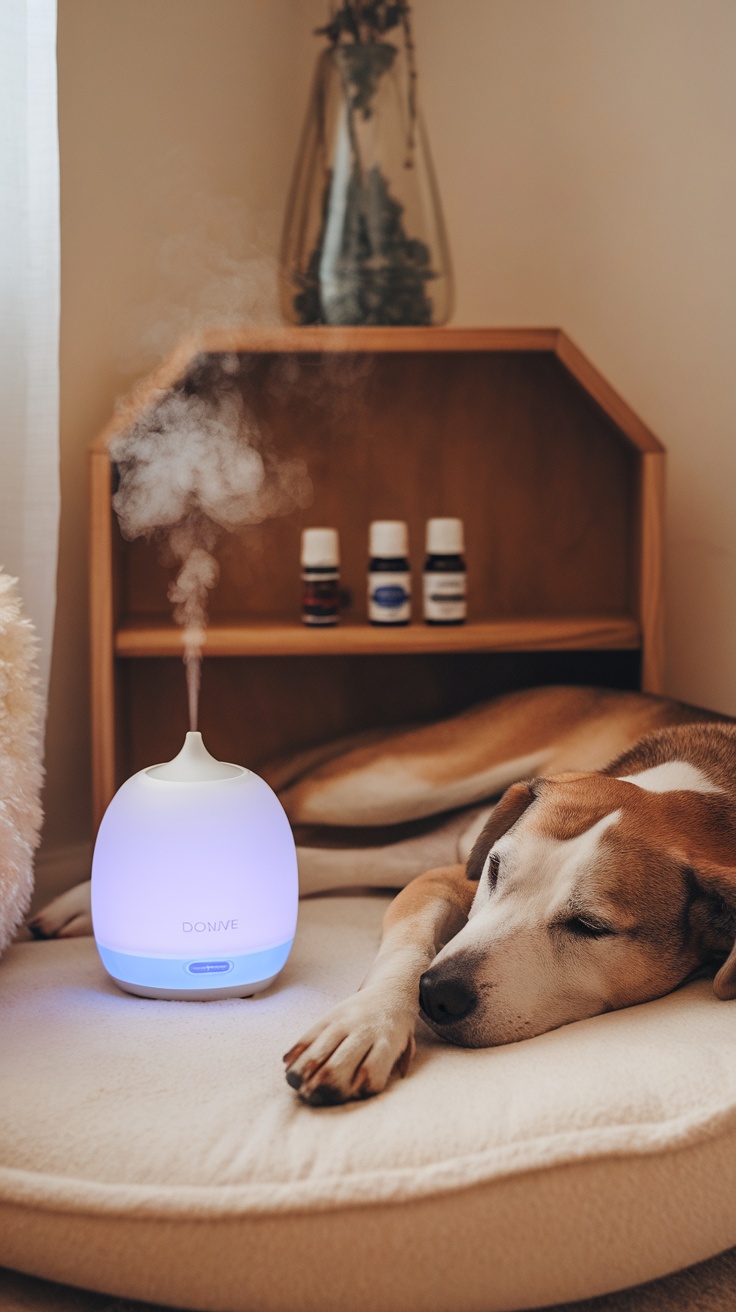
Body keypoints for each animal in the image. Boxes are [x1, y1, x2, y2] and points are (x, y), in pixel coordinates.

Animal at [31, 687, 734, 1107]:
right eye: (497, 870)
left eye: (589, 927)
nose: (439, 995)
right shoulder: (450, 878)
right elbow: (406, 952)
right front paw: (363, 1028)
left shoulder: (441, 872)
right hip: (397, 782)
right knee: (284, 807)